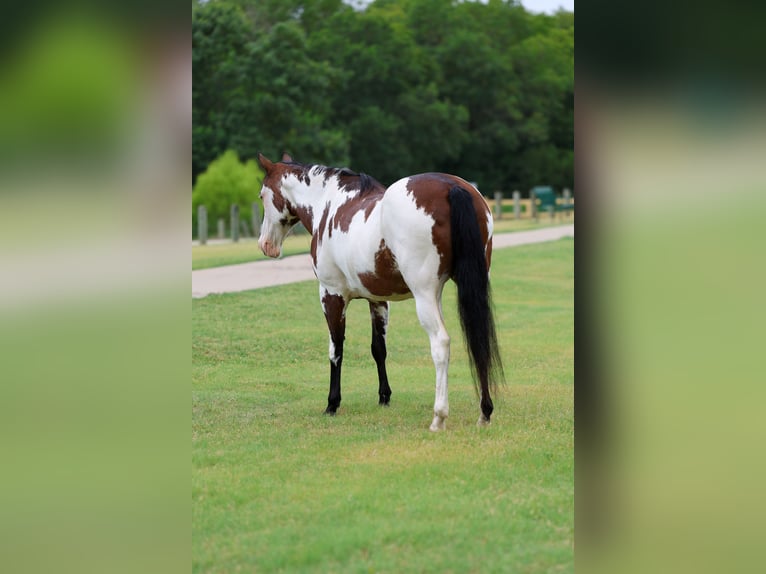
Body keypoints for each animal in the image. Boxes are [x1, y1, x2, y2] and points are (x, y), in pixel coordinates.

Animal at [256, 153, 503, 431]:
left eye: (262, 195)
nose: (266, 245)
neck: (330, 204)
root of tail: (451, 187)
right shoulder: (378, 300)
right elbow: (379, 348)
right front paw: (384, 396)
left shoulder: (331, 295)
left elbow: (336, 350)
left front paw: (332, 403)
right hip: (473, 287)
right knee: (480, 340)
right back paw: (485, 412)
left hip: (425, 295)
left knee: (441, 343)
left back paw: (439, 416)